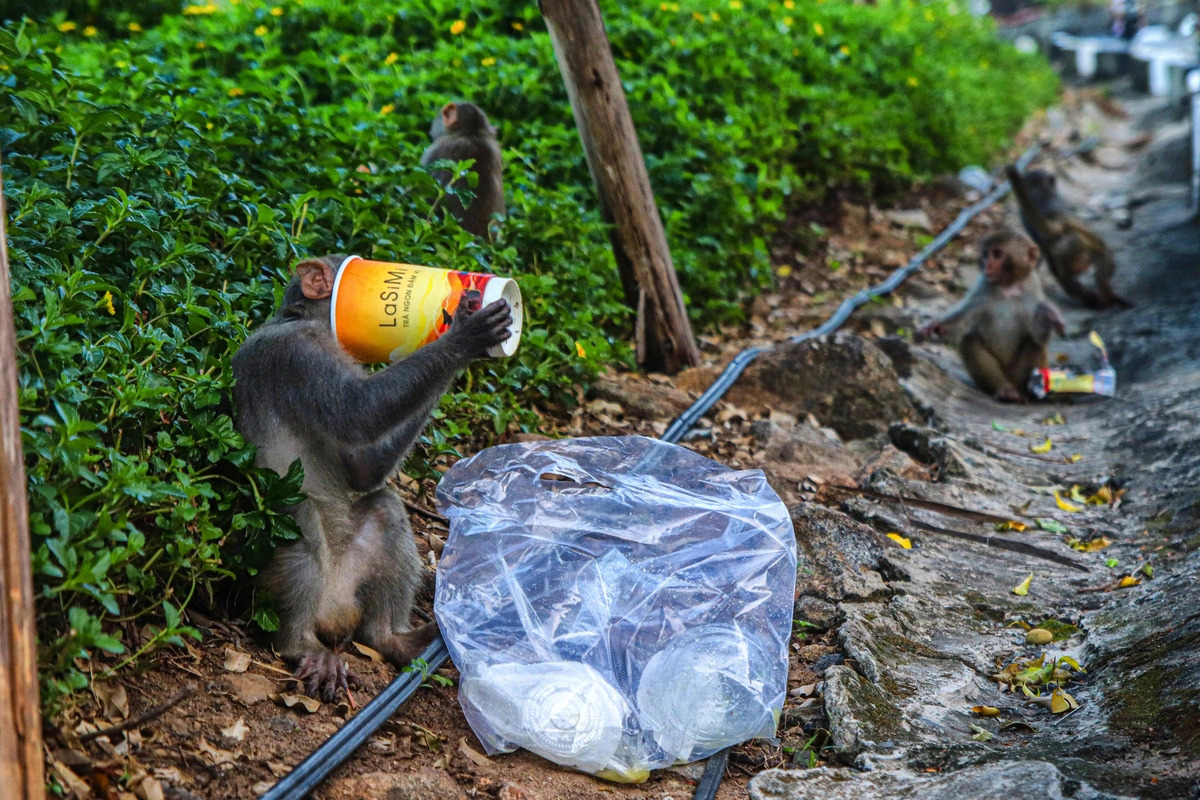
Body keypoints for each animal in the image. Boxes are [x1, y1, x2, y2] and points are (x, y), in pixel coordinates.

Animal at [231, 253, 513, 695]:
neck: (297, 318)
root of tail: (332, 614)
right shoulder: (297, 352)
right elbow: (357, 412)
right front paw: (465, 335)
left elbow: (363, 474)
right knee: (300, 517)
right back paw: (300, 644)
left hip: (353, 583)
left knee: (386, 509)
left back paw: (392, 638)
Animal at [921, 227, 1065, 402]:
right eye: (986, 254)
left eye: (997, 254)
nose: (987, 264)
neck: (1009, 286)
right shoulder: (983, 285)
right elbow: (965, 318)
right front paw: (936, 327)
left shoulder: (1034, 288)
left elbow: (1037, 335)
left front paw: (1048, 317)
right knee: (969, 341)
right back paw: (1005, 391)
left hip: (1017, 376)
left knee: (1034, 343)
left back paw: (1029, 391)